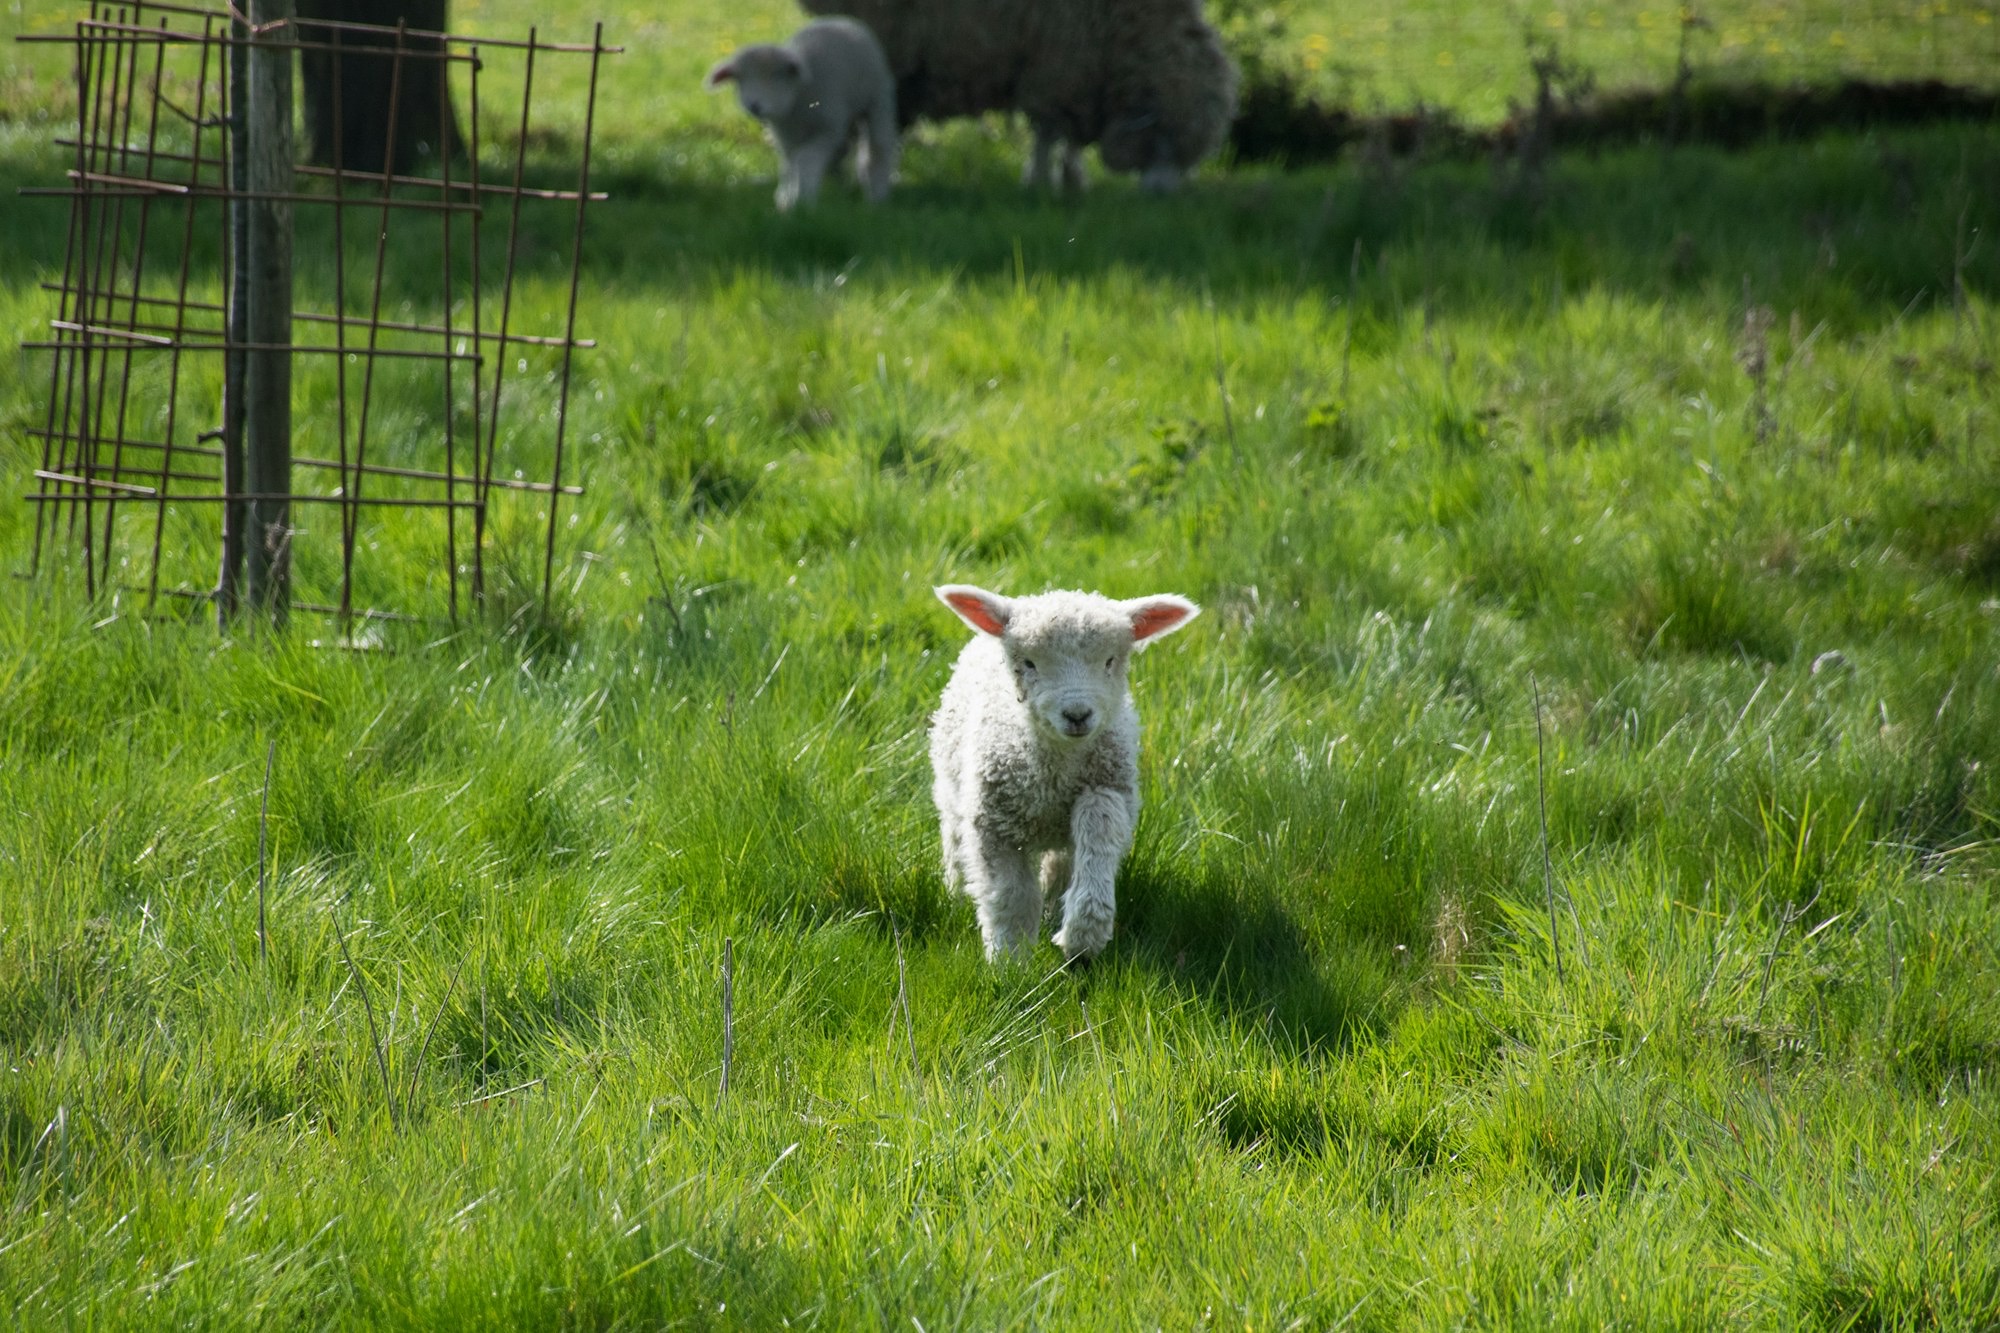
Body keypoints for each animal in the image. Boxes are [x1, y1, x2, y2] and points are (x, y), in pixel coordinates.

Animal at [706, 18, 900, 211]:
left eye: (776, 76)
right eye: (739, 79)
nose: (754, 105)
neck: (796, 98)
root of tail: (839, 20)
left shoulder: (828, 129)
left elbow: (804, 160)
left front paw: (803, 199)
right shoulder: (786, 135)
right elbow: (790, 165)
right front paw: (787, 200)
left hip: (877, 98)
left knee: (878, 149)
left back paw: (877, 197)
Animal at [797, 0, 1238, 193]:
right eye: (1166, 140)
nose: (1163, 197)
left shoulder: (1074, 69)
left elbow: (1064, 135)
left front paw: (1070, 180)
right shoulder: (1059, 60)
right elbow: (1049, 131)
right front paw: (1041, 182)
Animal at [930, 585, 1199, 962]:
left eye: (1110, 661)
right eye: (1028, 663)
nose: (1077, 714)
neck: (1055, 774)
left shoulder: (1107, 788)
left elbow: (1098, 833)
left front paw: (1082, 935)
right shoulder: (992, 824)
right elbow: (1010, 896)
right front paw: (1009, 959)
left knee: (1060, 865)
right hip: (951, 786)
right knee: (954, 836)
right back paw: (955, 892)